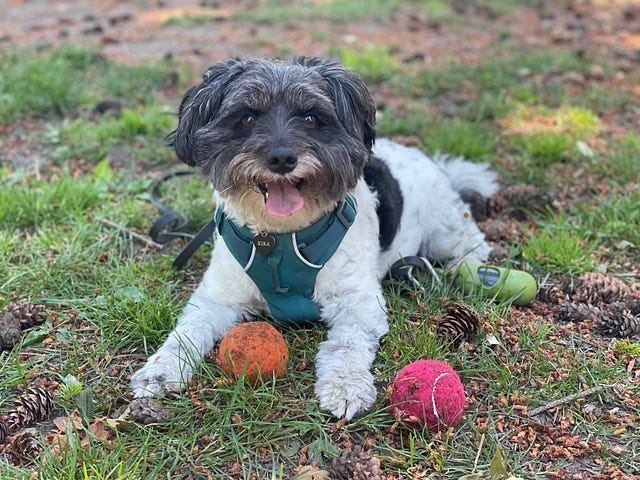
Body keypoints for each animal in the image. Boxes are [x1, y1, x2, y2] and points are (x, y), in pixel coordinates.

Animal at [130, 57, 498, 420]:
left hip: (443, 227)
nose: (281, 158)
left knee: (473, 242)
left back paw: (467, 268)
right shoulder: (216, 298)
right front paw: (159, 372)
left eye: (311, 118)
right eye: (247, 117)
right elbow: (186, 332)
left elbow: (348, 344)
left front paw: (346, 386)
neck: (280, 239)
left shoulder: (357, 303)